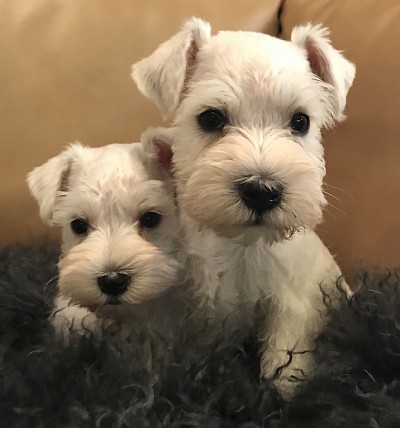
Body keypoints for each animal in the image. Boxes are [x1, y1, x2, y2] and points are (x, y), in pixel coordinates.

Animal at [133, 17, 354, 394]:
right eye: (210, 118)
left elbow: (283, 358)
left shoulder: (289, 306)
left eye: (301, 121)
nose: (262, 192)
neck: (237, 244)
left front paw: (280, 393)